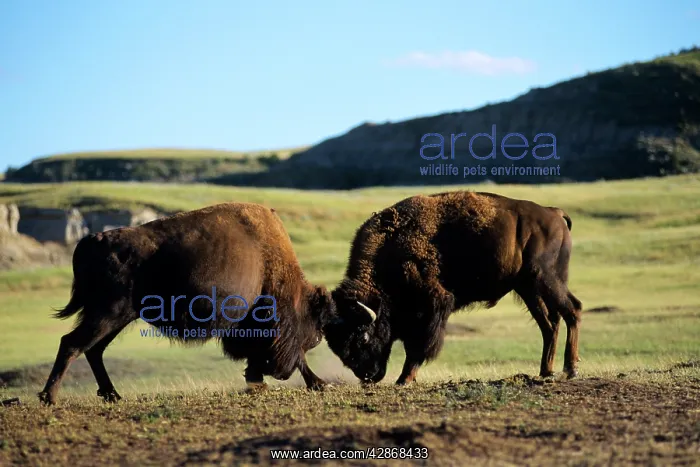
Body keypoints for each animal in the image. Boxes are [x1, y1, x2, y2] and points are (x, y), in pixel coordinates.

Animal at [38, 202, 335, 405]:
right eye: (313, 322)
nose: (318, 338)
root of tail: (92, 240)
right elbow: (296, 358)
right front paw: (318, 383)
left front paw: (258, 383)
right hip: (108, 314)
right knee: (72, 343)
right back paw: (50, 398)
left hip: (116, 318)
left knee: (92, 350)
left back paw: (112, 395)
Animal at [323, 190, 582, 385]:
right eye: (339, 348)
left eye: (364, 338)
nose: (368, 376)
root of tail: (553, 213)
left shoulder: (433, 306)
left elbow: (418, 346)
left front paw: (404, 379)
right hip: (528, 289)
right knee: (549, 324)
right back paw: (546, 371)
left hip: (546, 278)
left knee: (572, 310)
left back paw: (569, 370)